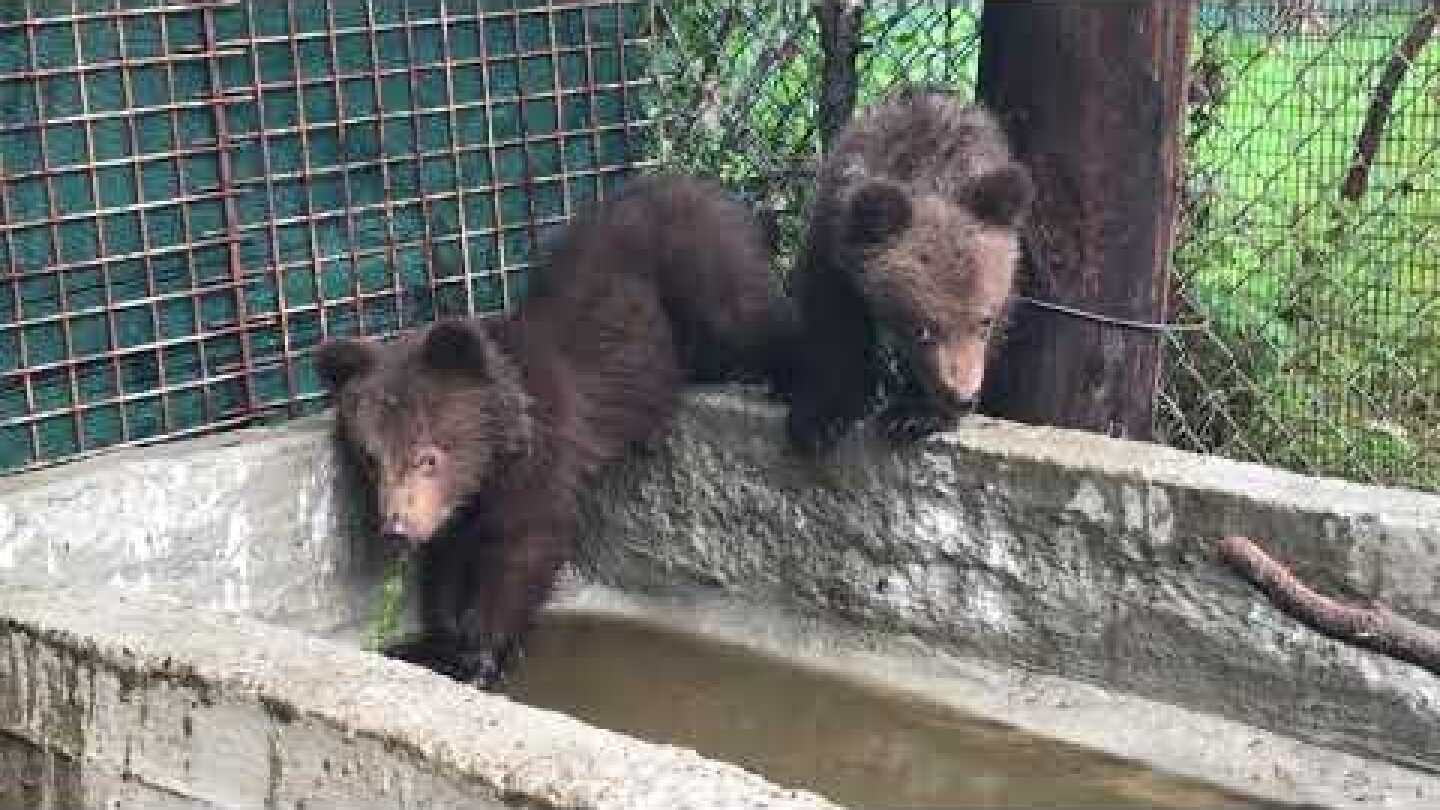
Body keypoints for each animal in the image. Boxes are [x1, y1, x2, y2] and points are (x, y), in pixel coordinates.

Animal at [314, 173, 787, 688]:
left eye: (427, 456)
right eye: (371, 457)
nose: (397, 526)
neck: (494, 458)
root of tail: (717, 192)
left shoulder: (543, 456)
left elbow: (526, 543)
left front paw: (481, 654)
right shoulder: (458, 508)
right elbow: (446, 560)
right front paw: (442, 638)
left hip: (701, 260)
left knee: (749, 319)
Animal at [783, 84, 1035, 455]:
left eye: (984, 322)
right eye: (922, 329)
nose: (962, 396)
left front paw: (913, 414)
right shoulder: (832, 239)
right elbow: (833, 320)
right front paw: (821, 417)